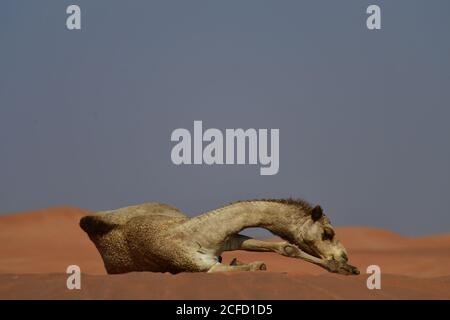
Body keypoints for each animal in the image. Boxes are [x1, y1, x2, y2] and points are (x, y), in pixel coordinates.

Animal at [80, 198, 358, 276]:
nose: (344, 255)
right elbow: (256, 266)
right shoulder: (204, 267)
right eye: (328, 232)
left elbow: (285, 248)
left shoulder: (229, 239)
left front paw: (345, 269)